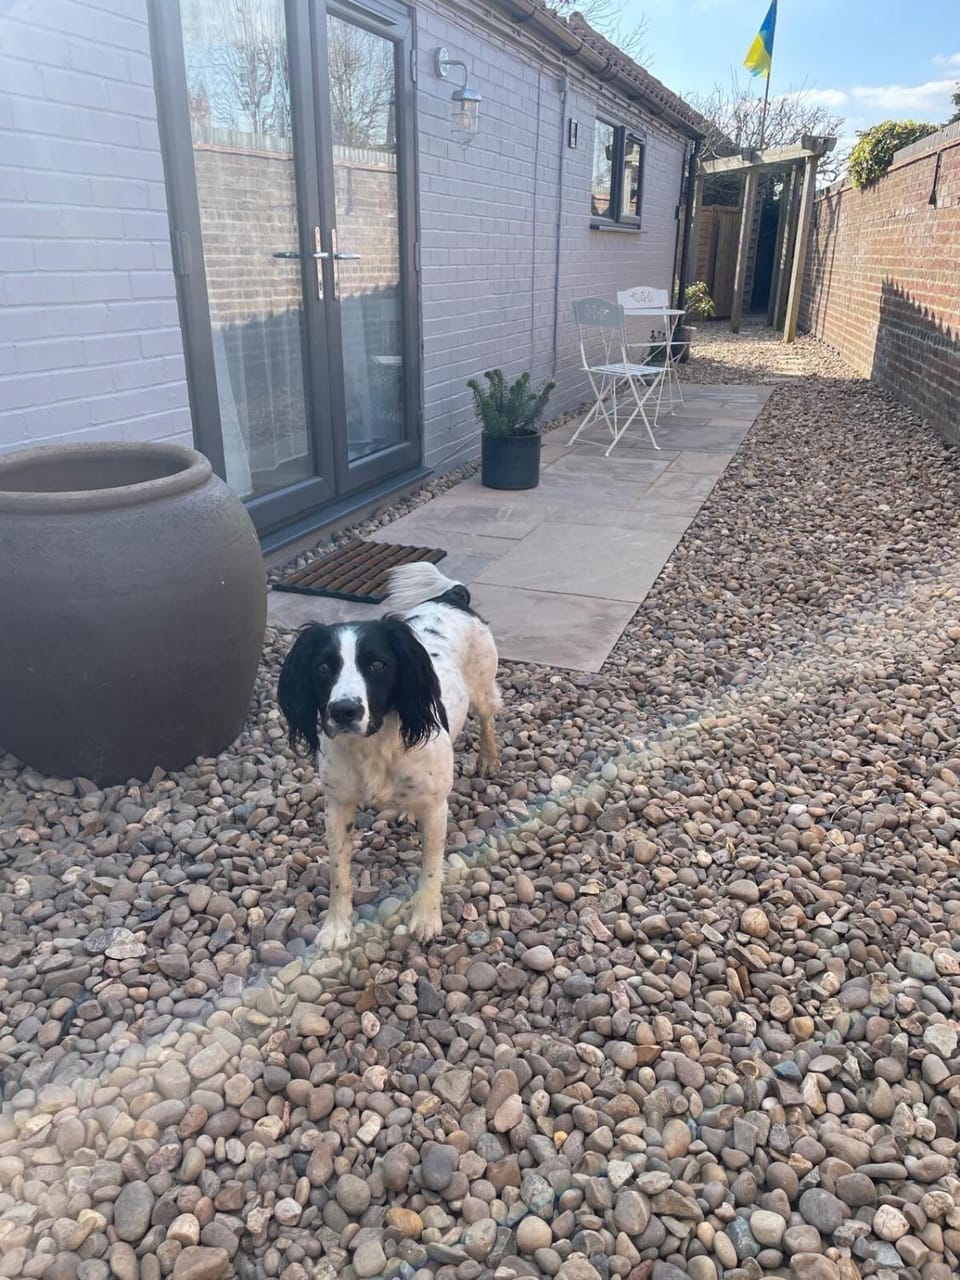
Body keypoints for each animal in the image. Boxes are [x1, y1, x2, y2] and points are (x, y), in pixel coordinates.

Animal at [277, 562, 501, 948]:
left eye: (378, 665)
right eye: (323, 667)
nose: (344, 711)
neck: (374, 744)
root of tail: (451, 597)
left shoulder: (437, 808)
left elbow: (431, 869)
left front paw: (426, 919)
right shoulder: (337, 805)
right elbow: (339, 874)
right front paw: (336, 928)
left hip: (484, 688)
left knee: (487, 718)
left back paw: (488, 758)